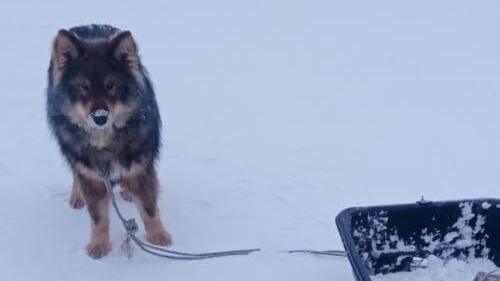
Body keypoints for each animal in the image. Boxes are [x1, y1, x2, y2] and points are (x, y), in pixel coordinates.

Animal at [47, 24, 172, 258]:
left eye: (110, 86)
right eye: (84, 86)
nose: (100, 117)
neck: (105, 141)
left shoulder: (141, 167)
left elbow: (149, 208)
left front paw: (158, 236)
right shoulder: (91, 175)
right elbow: (98, 217)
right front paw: (99, 245)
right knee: (76, 175)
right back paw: (77, 196)